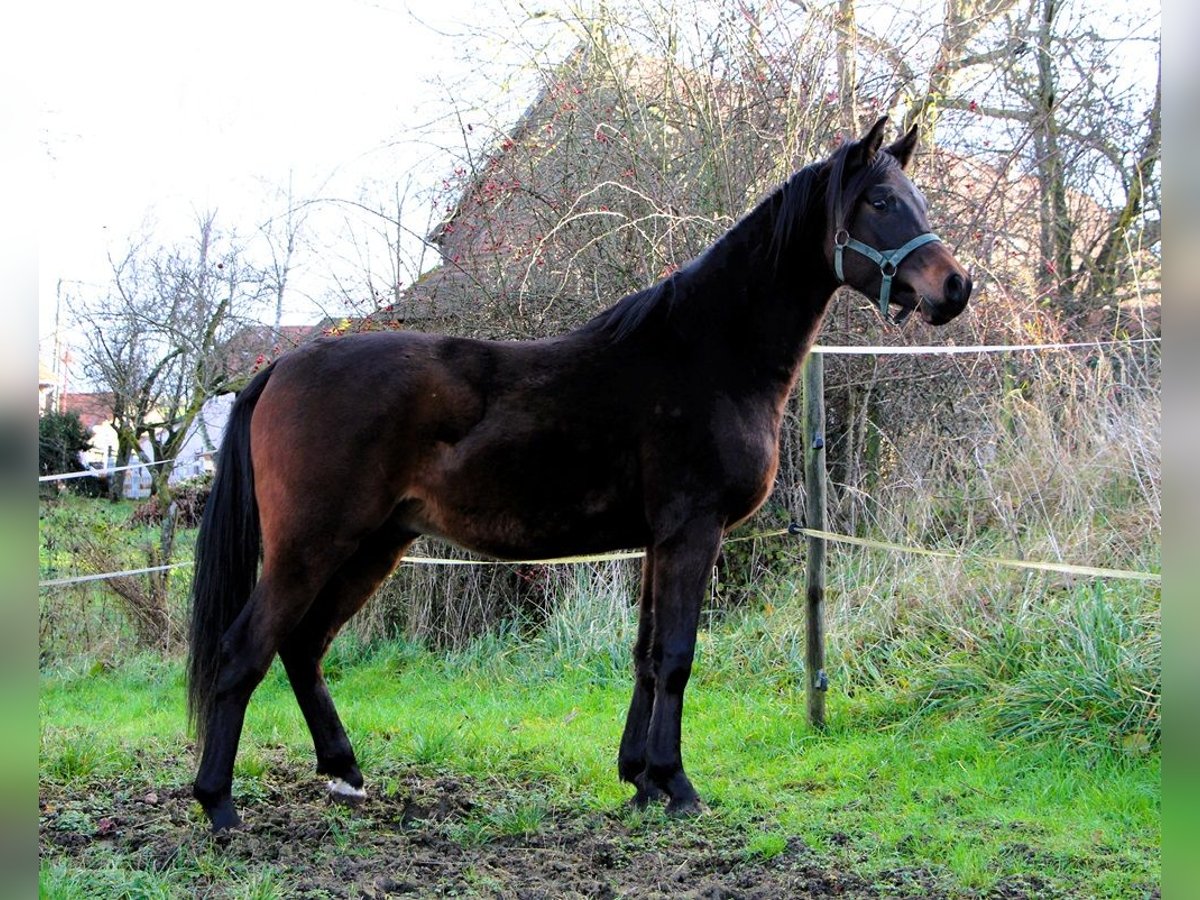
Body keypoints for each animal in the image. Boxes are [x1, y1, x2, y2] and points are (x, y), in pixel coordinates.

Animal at [189, 118, 974, 830]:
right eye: (880, 201)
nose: (956, 287)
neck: (708, 354)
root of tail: (281, 368)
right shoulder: (695, 532)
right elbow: (679, 655)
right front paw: (677, 784)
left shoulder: (660, 540)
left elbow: (647, 654)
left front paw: (641, 778)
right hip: (312, 545)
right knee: (244, 651)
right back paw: (219, 806)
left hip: (375, 544)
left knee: (302, 647)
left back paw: (345, 772)